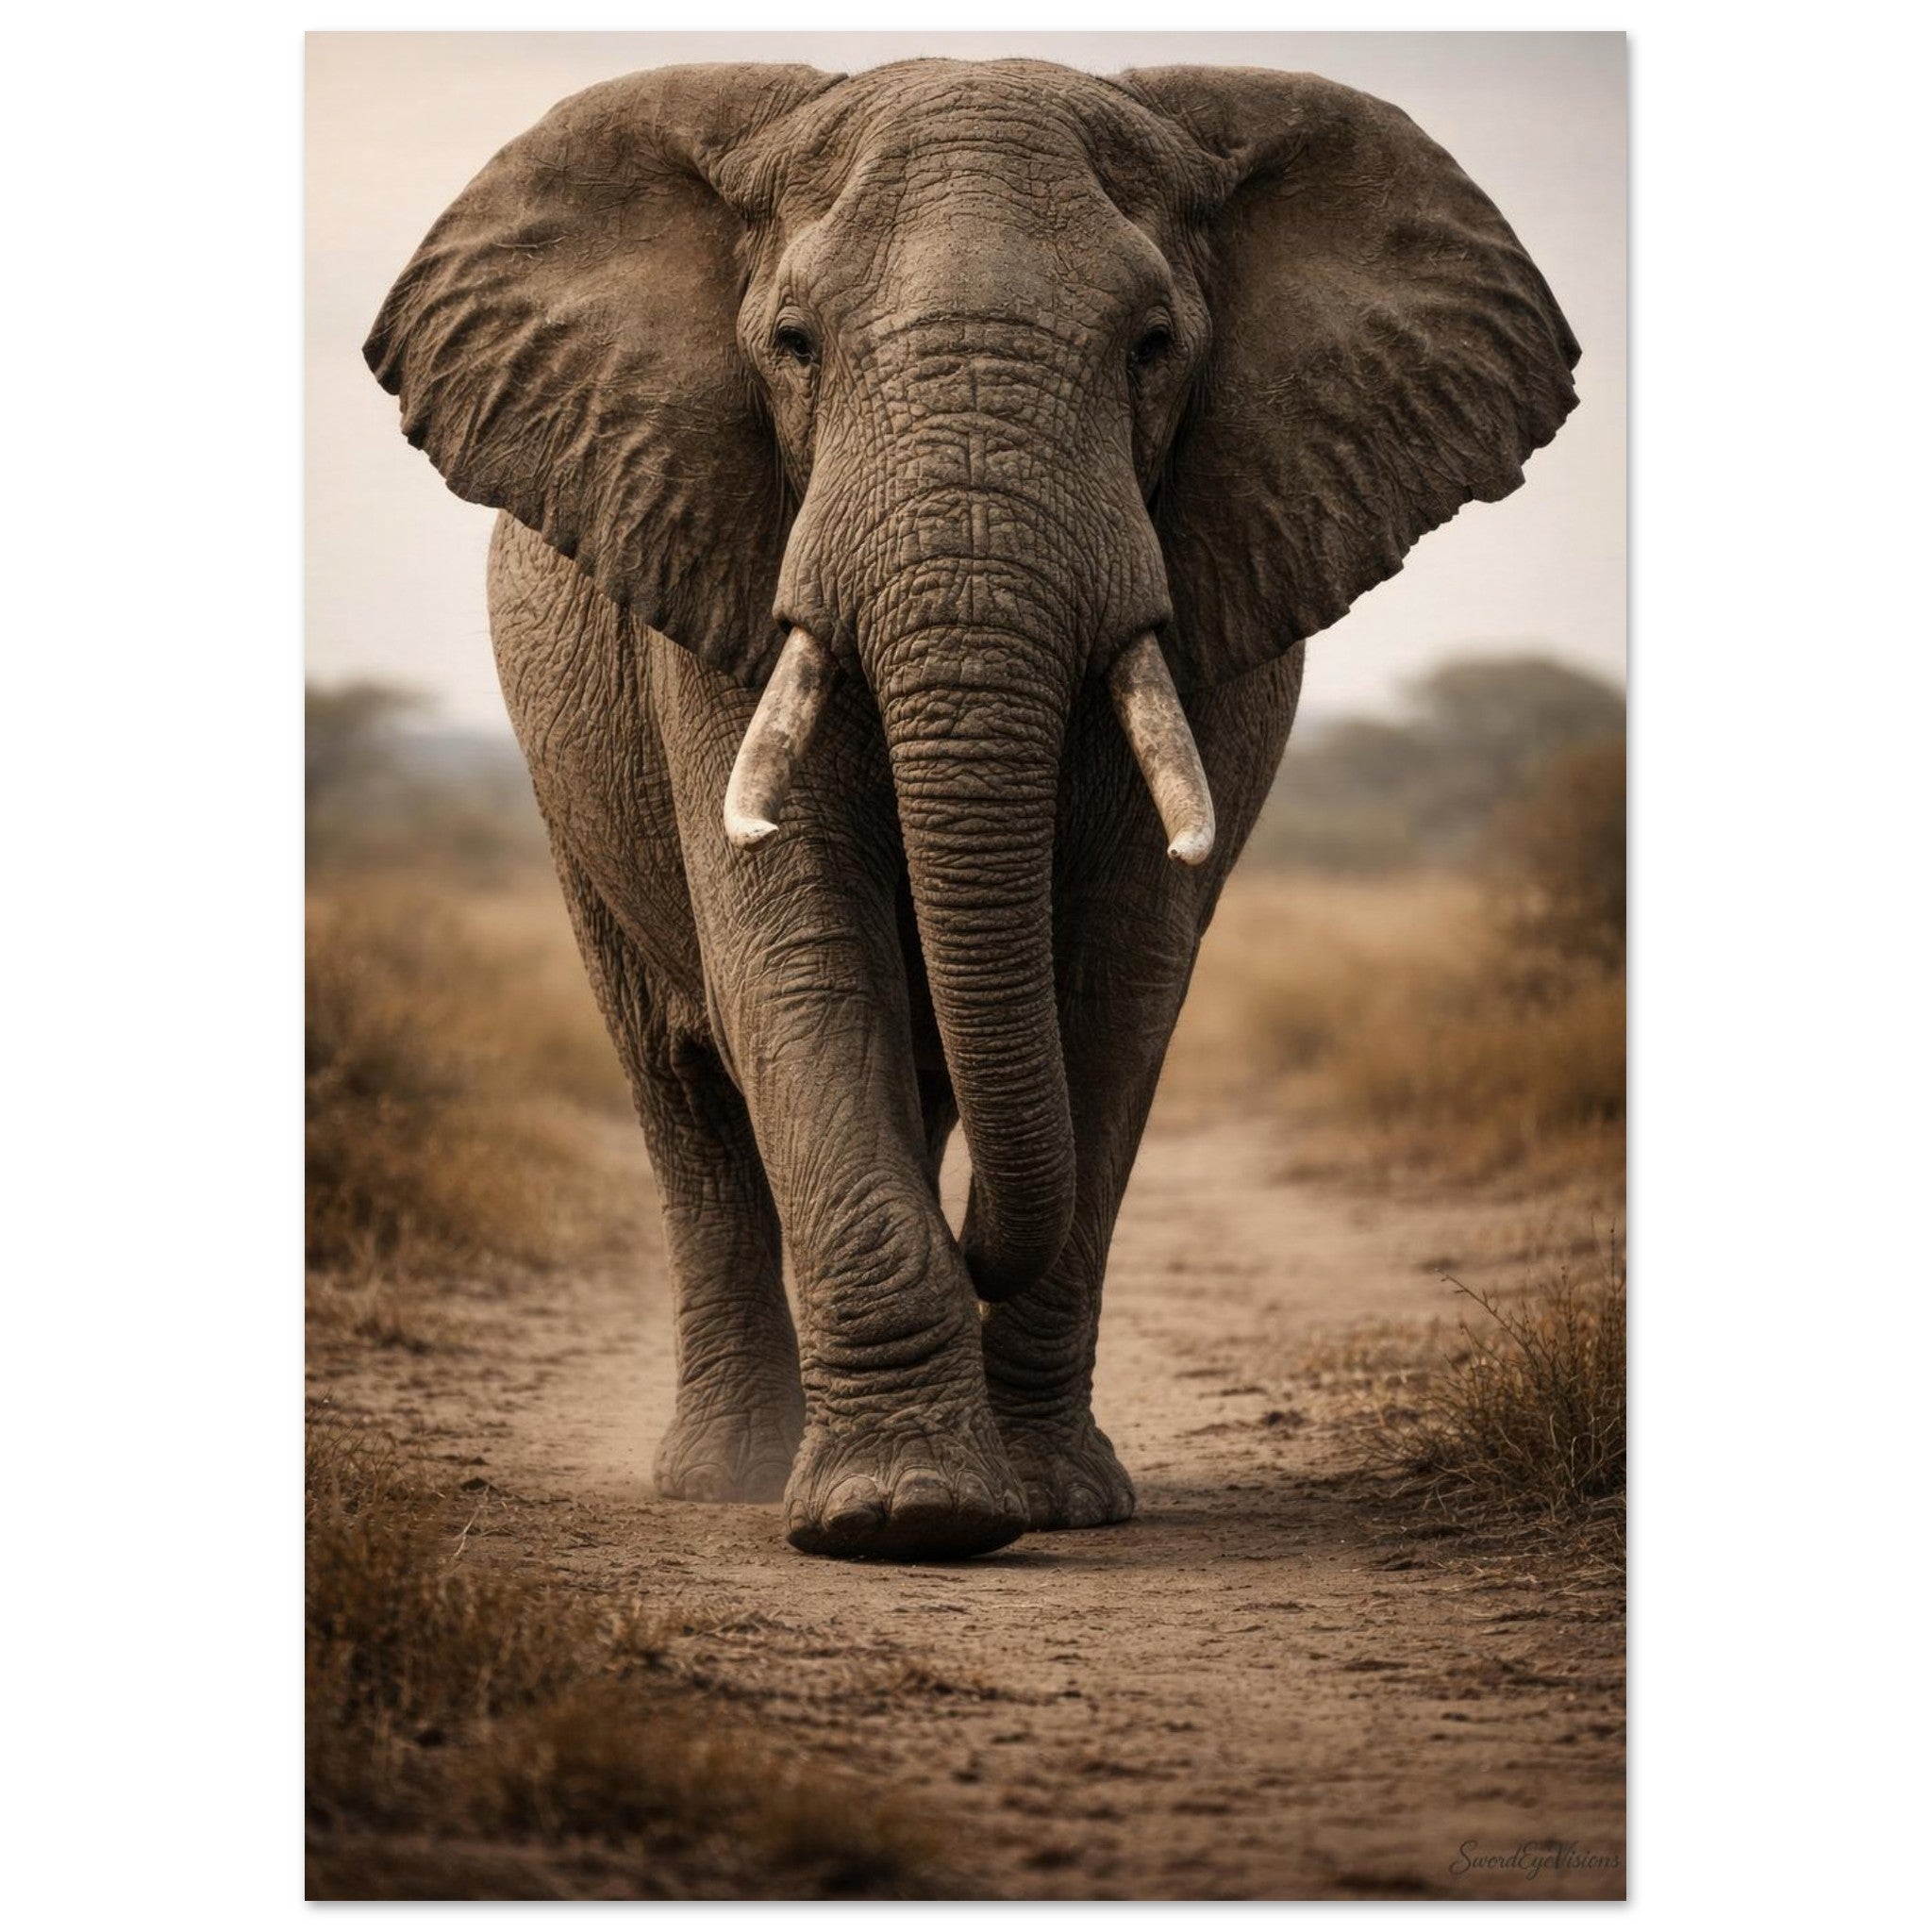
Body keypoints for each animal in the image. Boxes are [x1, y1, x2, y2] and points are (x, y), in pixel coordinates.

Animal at [365, 58, 1578, 1561]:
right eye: (794, 343)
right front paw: (904, 1517)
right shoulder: (717, 574)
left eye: (1153, 345)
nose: (975, 1239)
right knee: (683, 1091)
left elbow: (1119, 985)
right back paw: (726, 1476)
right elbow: (798, 954)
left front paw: (1050, 1502)